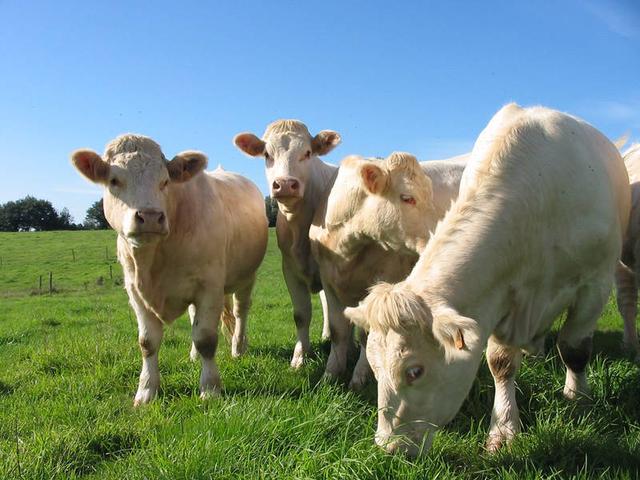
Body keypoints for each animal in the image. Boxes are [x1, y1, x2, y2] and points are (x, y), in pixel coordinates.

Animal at [70, 134, 268, 404]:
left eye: (165, 181)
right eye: (114, 180)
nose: (150, 217)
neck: (154, 262)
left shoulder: (209, 287)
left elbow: (206, 338)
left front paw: (210, 389)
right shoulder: (135, 292)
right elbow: (147, 342)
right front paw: (146, 392)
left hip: (246, 277)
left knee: (241, 311)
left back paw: (238, 347)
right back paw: (193, 356)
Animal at [231, 120, 340, 368]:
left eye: (307, 153)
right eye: (266, 154)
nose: (285, 184)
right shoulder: (289, 268)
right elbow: (301, 314)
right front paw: (300, 357)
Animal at [308, 152, 464, 388]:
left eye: (430, 195)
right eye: (407, 197)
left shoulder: (382, 280)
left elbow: (366, 333)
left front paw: (359, 378)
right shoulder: (329, 282)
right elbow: (337, 331)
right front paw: (330, 375)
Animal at [344, 103, 632, 456]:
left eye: (415, 371)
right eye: (373, 367)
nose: (389, 448)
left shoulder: (595, 283)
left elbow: (574, 347)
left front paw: (577, 396)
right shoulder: (501, 293)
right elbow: (500, 362)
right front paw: (504, 428)